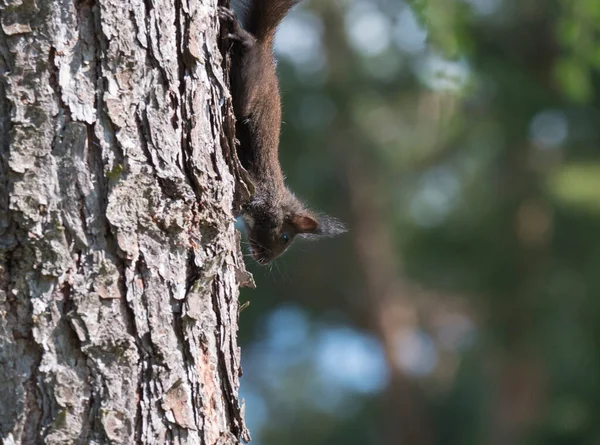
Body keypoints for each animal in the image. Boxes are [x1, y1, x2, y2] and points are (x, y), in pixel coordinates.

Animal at [220, 0, 344, 264]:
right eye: (285, 237)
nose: (264, 261)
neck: (275, 197)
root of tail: (266, 49)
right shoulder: (257, 191)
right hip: (251, 87)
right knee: (249, 49)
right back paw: (242, 35)